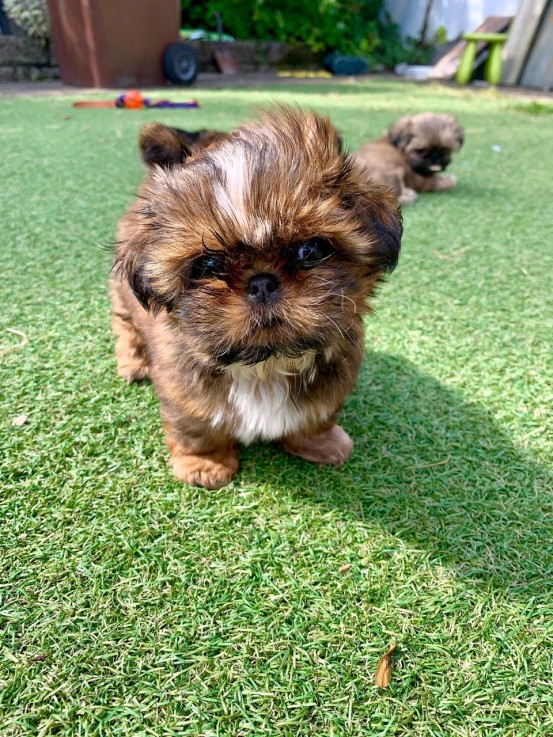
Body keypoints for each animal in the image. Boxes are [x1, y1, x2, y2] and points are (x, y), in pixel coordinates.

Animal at [109, 106, 402, 488]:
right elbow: (196, 428)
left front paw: (319, 442)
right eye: (208, 264)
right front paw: (204, 464)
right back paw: (134, 363)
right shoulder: (183, 392)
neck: (266, 365)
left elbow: (318, 414)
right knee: (126, 327)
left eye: (310, 250)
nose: (262, 282)